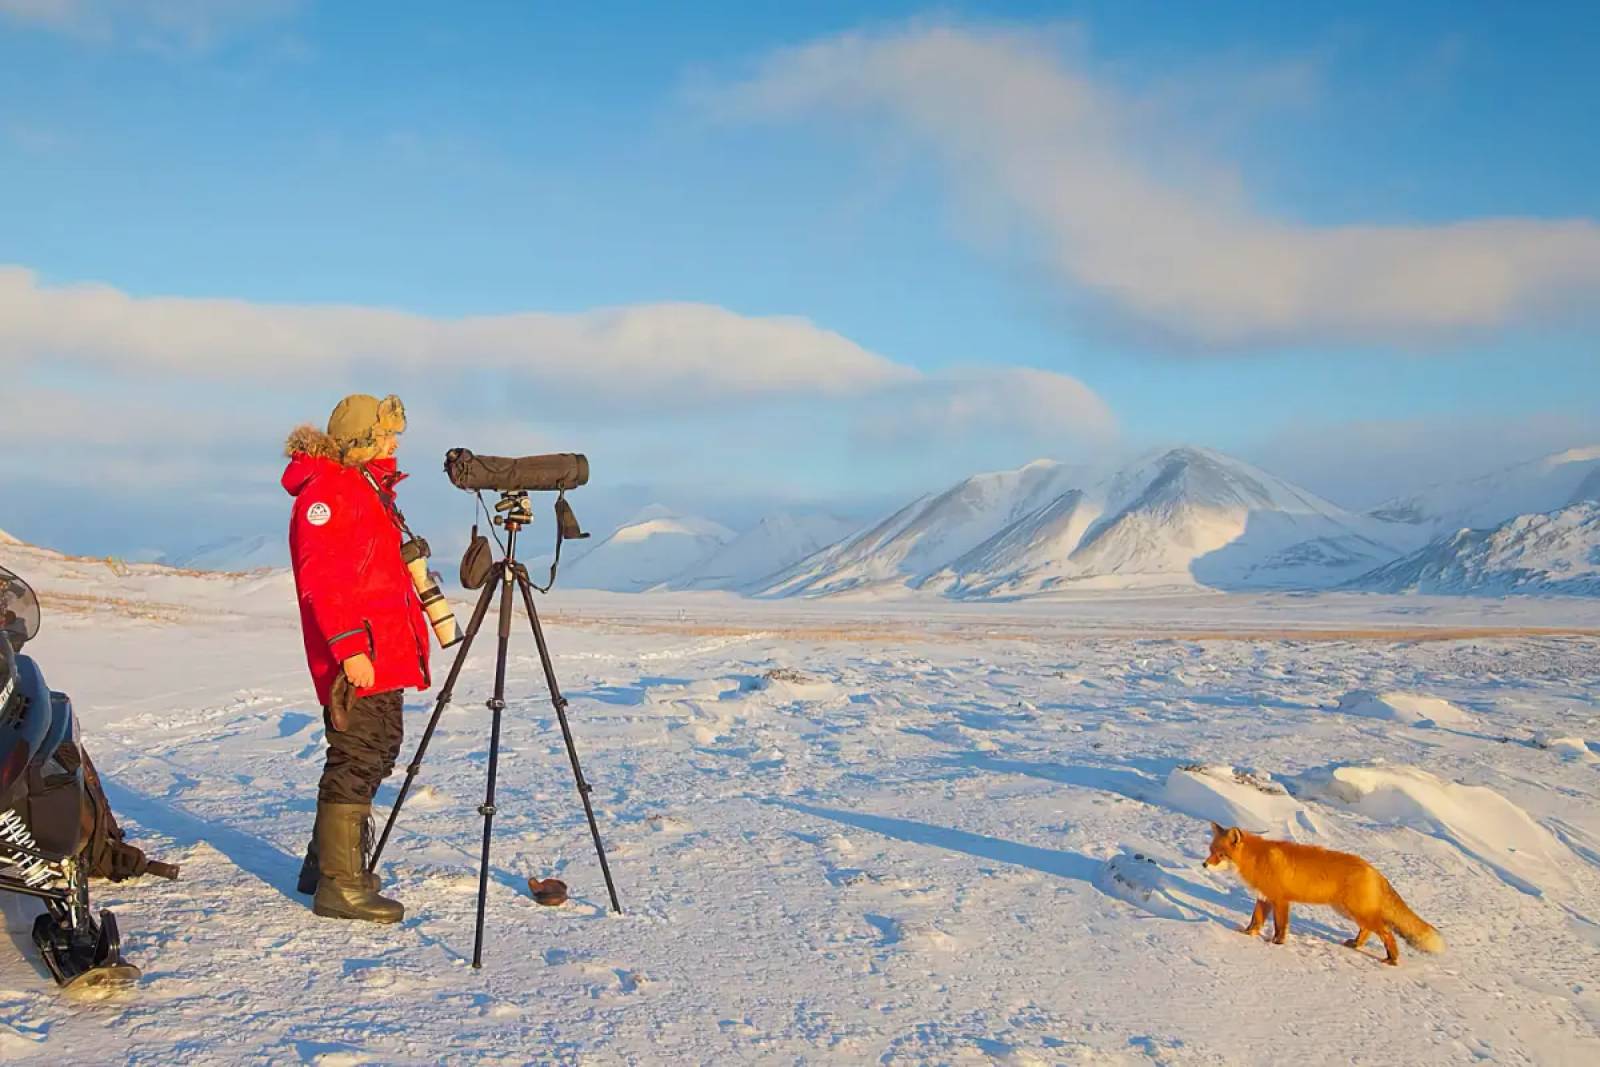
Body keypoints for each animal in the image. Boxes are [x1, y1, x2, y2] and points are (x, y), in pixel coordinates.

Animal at [1203, 825, 1446, 966]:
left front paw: (1278, 944)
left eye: (1220, 854)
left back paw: (1392, 959)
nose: (1204, 865)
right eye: (1210, 850)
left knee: (1386, 931)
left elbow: (1281, 926)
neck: (1257, 858)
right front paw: (1247, 934)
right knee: (1367, 930)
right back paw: (1355, 945)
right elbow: (1256, 921)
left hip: (1356, 911)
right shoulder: (1264, 899)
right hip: (1348, 912)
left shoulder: (1280, 900)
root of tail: (1374, 870)